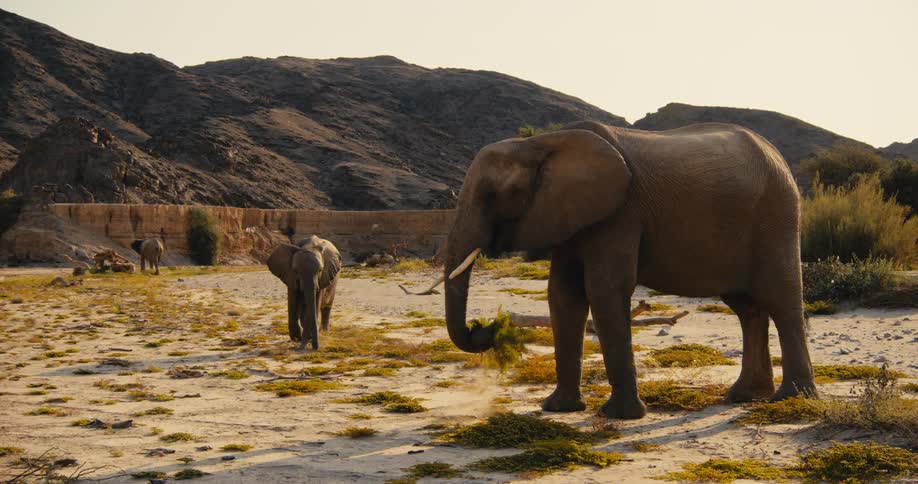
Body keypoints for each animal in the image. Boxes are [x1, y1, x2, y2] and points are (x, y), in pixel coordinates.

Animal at [442, 121, 816, 419]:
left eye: (494, 195)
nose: (485, 328)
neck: (542, 144)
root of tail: (776, 154)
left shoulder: (620, 214)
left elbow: (604, 289)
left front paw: (620, 416)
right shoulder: (568, 216)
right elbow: (563, 295)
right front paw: (558, 409)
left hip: (776, 215)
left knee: (781, 301)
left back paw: (791, 399)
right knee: (746, 308)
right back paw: (744, 396)